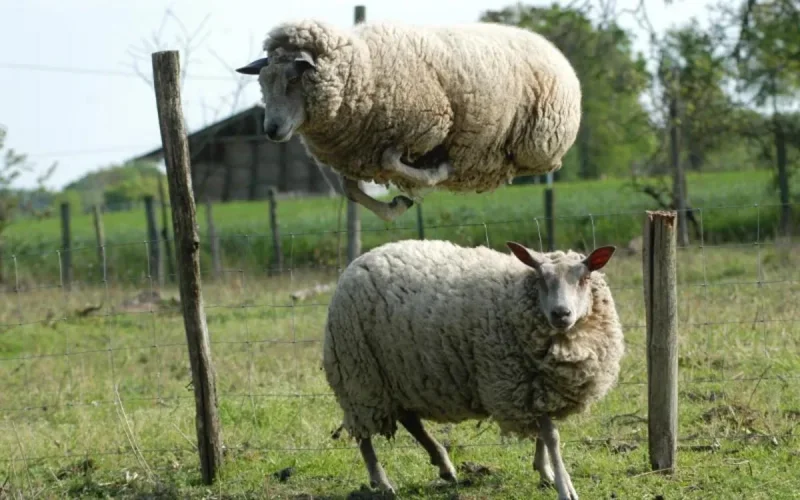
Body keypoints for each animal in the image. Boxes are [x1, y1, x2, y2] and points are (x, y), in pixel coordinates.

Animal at [235, 19, 582, 222]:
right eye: (263, 82)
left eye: (294, 79)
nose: (271, 130)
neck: (365, 69)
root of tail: (550, 47)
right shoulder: (358, 156)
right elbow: (350, 190)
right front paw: (396, 207)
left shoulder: (427, 127)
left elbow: (394, 162)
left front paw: (433, 177)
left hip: (538, 144)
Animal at [321, 239, 624, 499]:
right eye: (540, 279)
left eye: (584, 278)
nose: (561, 314)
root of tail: (358, 261)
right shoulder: (521, 383)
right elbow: (551, 436)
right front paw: (564, 486)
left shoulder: (538, 388)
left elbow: (543, 435)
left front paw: (545, 472)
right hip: (358, 374)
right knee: (364, 434)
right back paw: (382, 481)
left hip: (398, 374)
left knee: (410, 420)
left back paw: (444, 466)